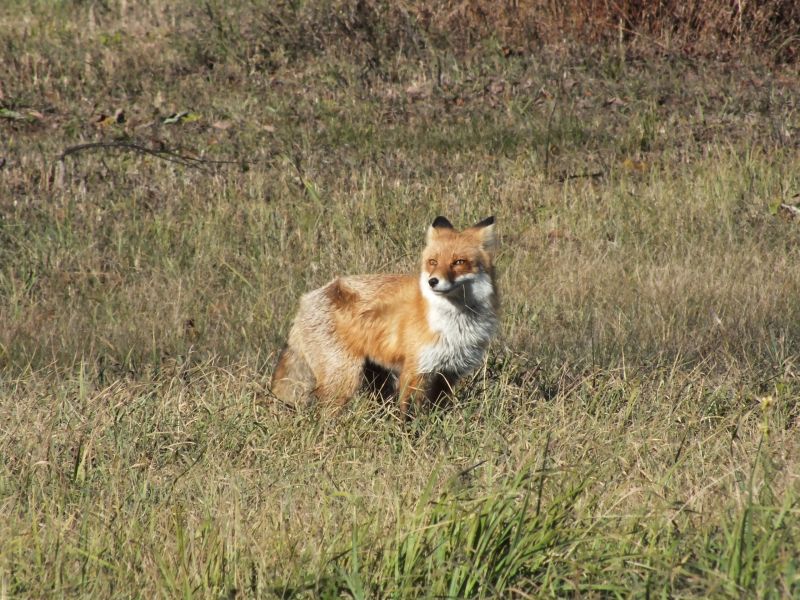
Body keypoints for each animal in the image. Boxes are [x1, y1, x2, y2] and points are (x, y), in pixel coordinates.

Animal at [272, 216, 496, 418]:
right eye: (433, 262)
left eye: (459, 262)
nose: (432, 281)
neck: (455, 323)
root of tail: (305, 300)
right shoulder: (415, 371)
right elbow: (410, 415)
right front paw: (410, 435)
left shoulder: (448, 374)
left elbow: (438, 411)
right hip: (344, 380)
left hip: (376, 378)